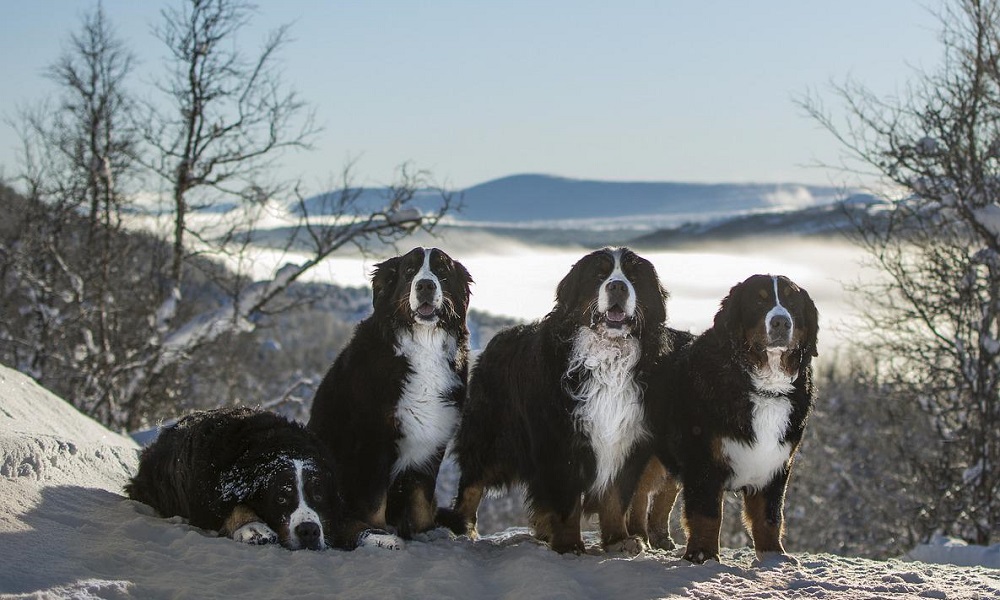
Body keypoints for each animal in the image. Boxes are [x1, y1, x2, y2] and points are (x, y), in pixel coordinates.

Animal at [127, 406, 400, 552]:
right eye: (280, 498)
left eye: (318, 495)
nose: (309, 531)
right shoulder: (209, 498)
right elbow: (235, 507)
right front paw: (253, 527)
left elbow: (348, 521)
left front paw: (378, 536)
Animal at [446, 247, 672, 552]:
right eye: (599, 275)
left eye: (633, 277)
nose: (617, 286)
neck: (607, 357)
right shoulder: (559, 440)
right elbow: (566, 502)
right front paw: (569, 544)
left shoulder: (626, 439)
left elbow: (615, 498)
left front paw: (618, 540)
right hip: (492, 435)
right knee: (472, 481)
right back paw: (464, 529)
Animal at [648, 274, 820, 564]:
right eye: (759, 301)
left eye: (792, 302)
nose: (781, 321)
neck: (764, 387)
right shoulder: (703, 460)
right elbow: (707, 514)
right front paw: (703, 555)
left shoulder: (776, 463)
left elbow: (769, 515)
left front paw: (774, 557)